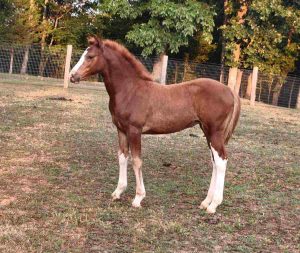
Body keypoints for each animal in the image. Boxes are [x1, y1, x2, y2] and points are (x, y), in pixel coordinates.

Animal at [69, 35, 240, 213]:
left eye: (90, 56)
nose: (72, 76)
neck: (130, 90)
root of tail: (230, 91)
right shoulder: (121, 130)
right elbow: (122, 157)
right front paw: (118, 192)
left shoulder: (134, 131)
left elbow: (136, 160)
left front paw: (138, 198)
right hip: (207, 132)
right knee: (214, 161)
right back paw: (206, 202)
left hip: (214, 132)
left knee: (221, 161)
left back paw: (213, 205)